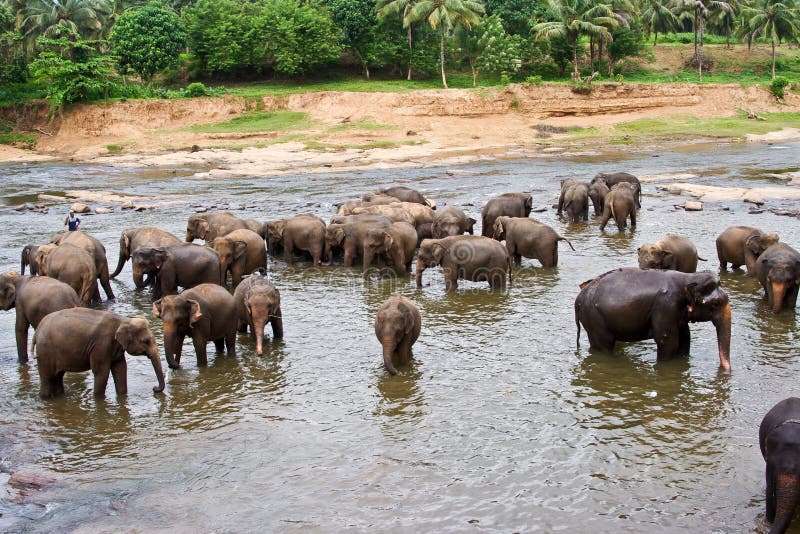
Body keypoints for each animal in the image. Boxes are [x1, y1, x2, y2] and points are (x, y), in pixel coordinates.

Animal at [32, 308, 166, 400]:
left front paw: (122, 397)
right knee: (47, 378)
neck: (123, 320)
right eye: (146, 341)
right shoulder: (101, 345)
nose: (154, 388)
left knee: (58, 376)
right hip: (45, 352)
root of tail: (38, 330)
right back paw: (45, 398)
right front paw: (99, 400)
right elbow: (102, 372)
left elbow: (120, 369)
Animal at [576, 268, 732, 372]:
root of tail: (579, 298)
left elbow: (685, 338)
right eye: (716, 303)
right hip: (595, 318)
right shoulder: (665, 306)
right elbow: (668, 342)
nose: (727, 371)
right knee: (605, 345)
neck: (687, 278)